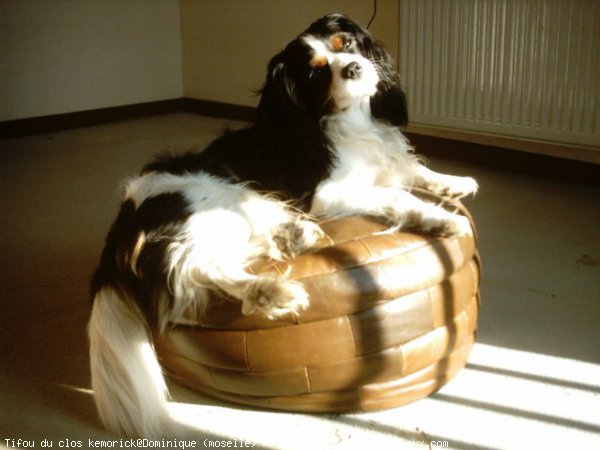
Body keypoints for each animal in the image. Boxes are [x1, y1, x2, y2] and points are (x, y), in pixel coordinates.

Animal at [86, 13, 478, 436]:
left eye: (347, 45)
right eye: (316, 73)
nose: (354, 68)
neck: (349, 123)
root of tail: (124, 220)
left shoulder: (388, 163)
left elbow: (413, 170)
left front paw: (454, 183)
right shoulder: (328, 195)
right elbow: (399, 196)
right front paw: (441, 218)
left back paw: (297, 237)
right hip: (223, 196)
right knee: (203, 267)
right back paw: (271, 290)